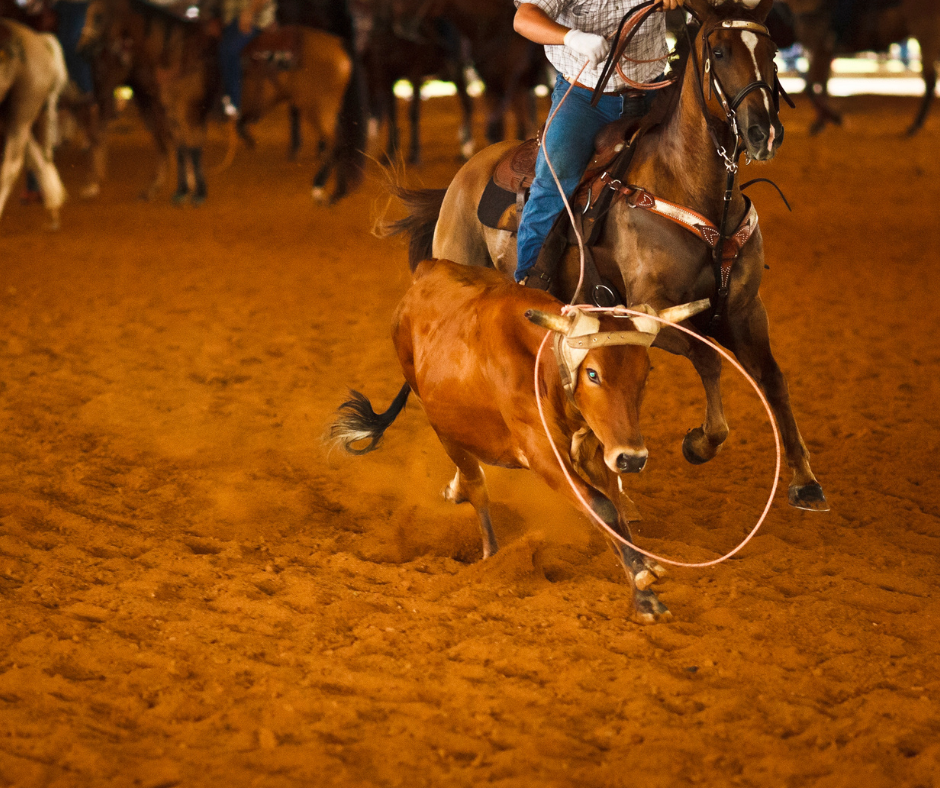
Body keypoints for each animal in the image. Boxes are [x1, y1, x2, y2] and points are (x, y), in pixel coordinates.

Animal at [390, 0, 828, 516]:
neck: (688, 187)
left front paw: (804, 479)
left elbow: (773, 380)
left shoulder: (745, 308)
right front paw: (700, 442)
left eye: (773, 52)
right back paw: (465, 480)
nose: (764, 133)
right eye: (719, 52)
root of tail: (463, 176)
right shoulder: (650, 309)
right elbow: (707, 357)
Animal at [784, 0, 940, 135]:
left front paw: (836, 119)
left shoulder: (820, 49)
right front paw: (820, 123)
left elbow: (811, 87)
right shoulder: (820, 53)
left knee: (930, 81)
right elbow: (821, 86)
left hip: (926, 35)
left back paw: (915, 126)